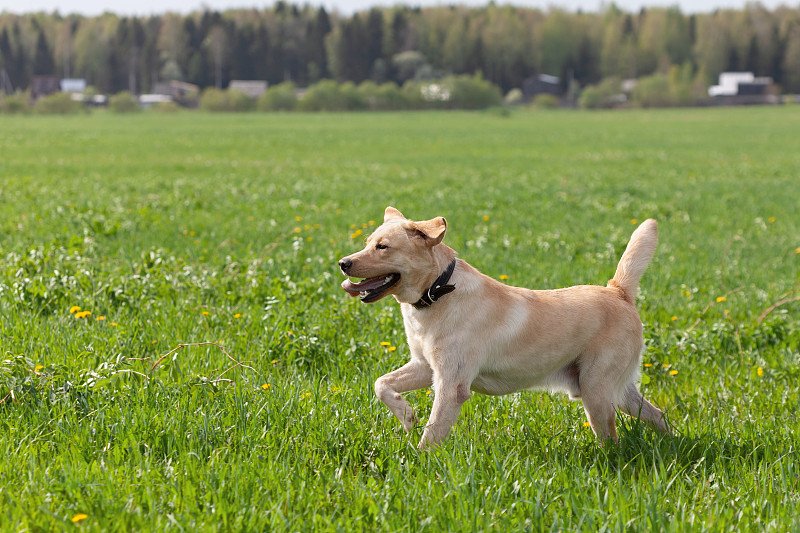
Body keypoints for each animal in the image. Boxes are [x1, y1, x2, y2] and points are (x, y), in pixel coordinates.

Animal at [340, 206, 672, 446]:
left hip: (596, 391)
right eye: (367, 243)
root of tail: (618, 291)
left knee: (612, 440)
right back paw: (672, 442)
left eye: (383, 247)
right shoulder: (424, 367)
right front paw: (406, 414)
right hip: (615, 390)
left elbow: (431, 436)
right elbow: (381, 384)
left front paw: (420, 464)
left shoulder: (451, 386)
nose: (343, 263)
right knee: (658, 415)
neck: (437, 292)